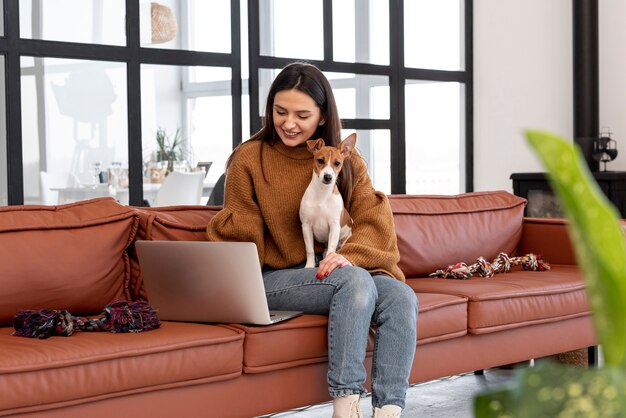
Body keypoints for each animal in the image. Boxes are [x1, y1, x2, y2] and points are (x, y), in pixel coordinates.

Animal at [298, 135, 356, 272]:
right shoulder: (306, 226)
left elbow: (331, 250)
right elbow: (310, 250)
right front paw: (309, 266)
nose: (328, 177)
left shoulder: (334, 226)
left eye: (337, 163)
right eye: (320, 160)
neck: (322, 194)